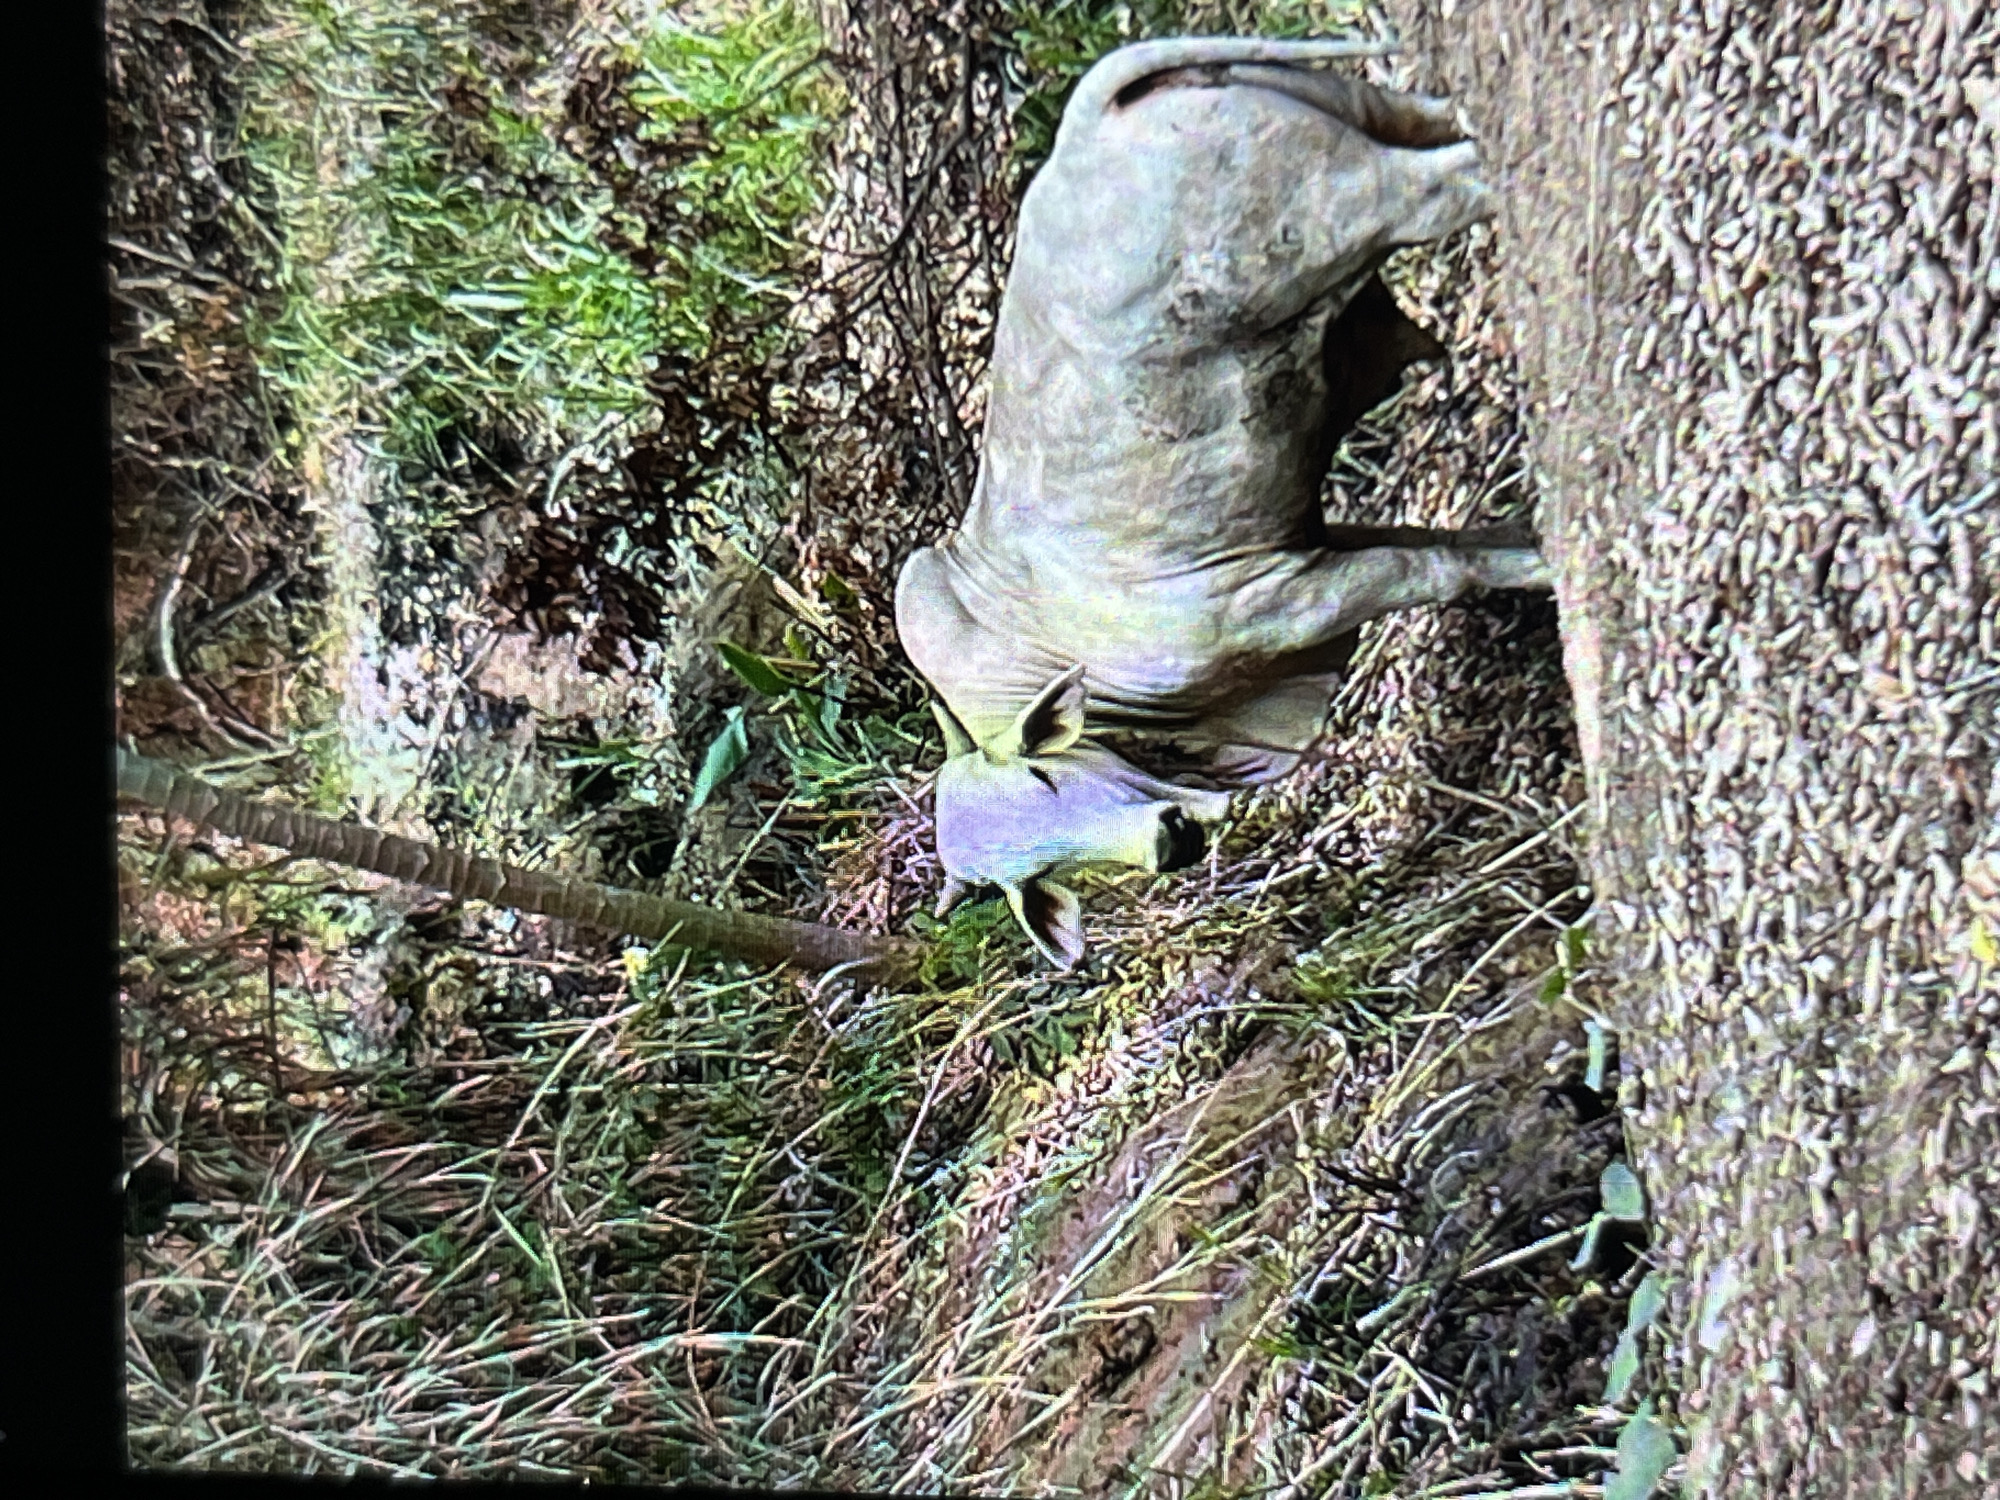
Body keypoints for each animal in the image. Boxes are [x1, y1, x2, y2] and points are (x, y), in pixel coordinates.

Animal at [893, 36, 1553, 969]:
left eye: (1045, 773)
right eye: (1029, 882)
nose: (1169, 842)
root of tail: (1087, 122)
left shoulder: (1279, 597)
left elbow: (1438, 569)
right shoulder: (1314, 544)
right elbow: (1458, 546)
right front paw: (1532, 543)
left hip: (1359, 206)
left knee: (1460, 177)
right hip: (1364, 117)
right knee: (1440, 121)